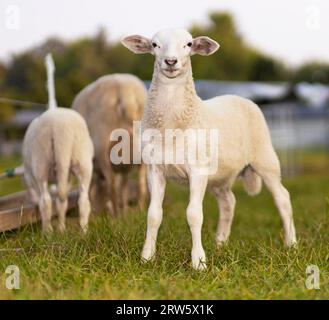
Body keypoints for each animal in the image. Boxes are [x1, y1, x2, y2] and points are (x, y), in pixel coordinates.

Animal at [22, 54, 93, 232]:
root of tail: (61, 128)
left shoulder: (31, 176)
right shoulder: (66, 176)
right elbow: (63, 202)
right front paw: (62, 227)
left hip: (40, 162)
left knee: (46, 201)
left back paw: (47, 231)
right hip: (82, 161)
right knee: (82, 200)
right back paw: (83, 230)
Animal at [73, 74, 147, 216]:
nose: (98, 210)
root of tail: (125, 92)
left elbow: (92, 189)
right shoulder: (124, 167)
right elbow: (124, 187)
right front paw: (125, 210)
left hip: (103, 146)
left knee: (111, 185)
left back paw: (116, 215)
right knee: (141, 184)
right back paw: (139, 210)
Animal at [121, 29, 296, 270]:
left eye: (188, 44)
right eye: (155, 45)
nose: (171, 61)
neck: (172, 125)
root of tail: (238, 96)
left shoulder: (197, 170)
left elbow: (194, 215)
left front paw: (199, 262)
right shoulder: (155, 169)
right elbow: (153, 214)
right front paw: (147, 257)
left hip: (264, 157)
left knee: (282, 198)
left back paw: (291, 243)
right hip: (220, 175)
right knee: (228, 202)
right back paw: (221, 243)